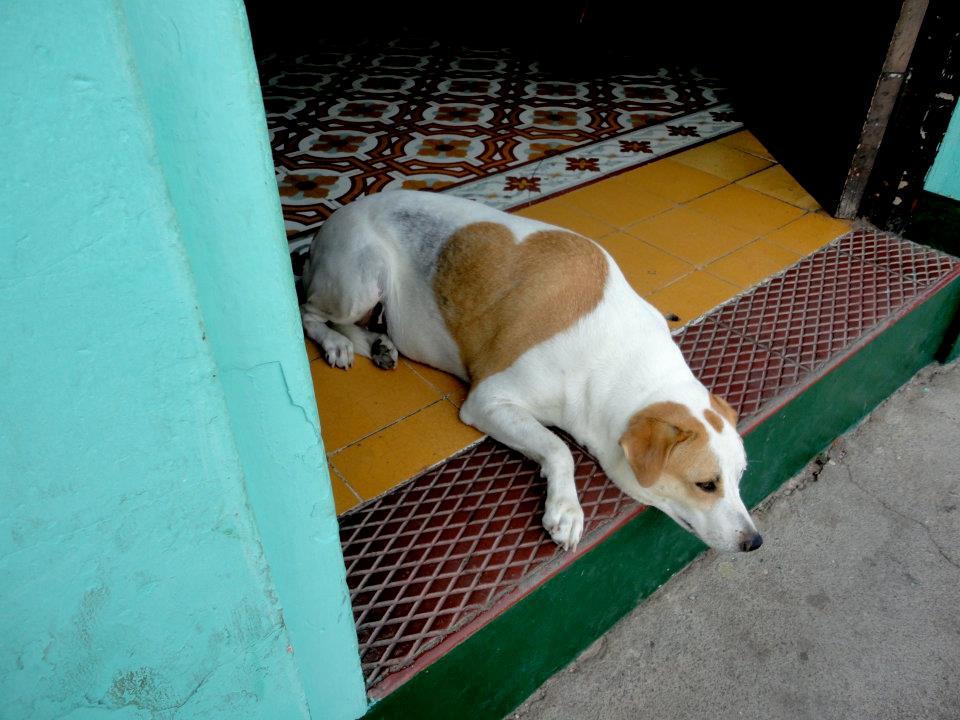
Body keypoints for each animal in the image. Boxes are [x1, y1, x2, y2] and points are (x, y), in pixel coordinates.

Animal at [302, 190, 764, 552]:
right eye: (706, 484)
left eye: (740, 476)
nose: (754, 541)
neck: (619, 359)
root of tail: (335, 216)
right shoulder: (488, 400)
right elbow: (559, 448)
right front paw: (567, 509)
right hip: (360, 280)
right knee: (309, 313)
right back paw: (337, 344)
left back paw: (377, 345)